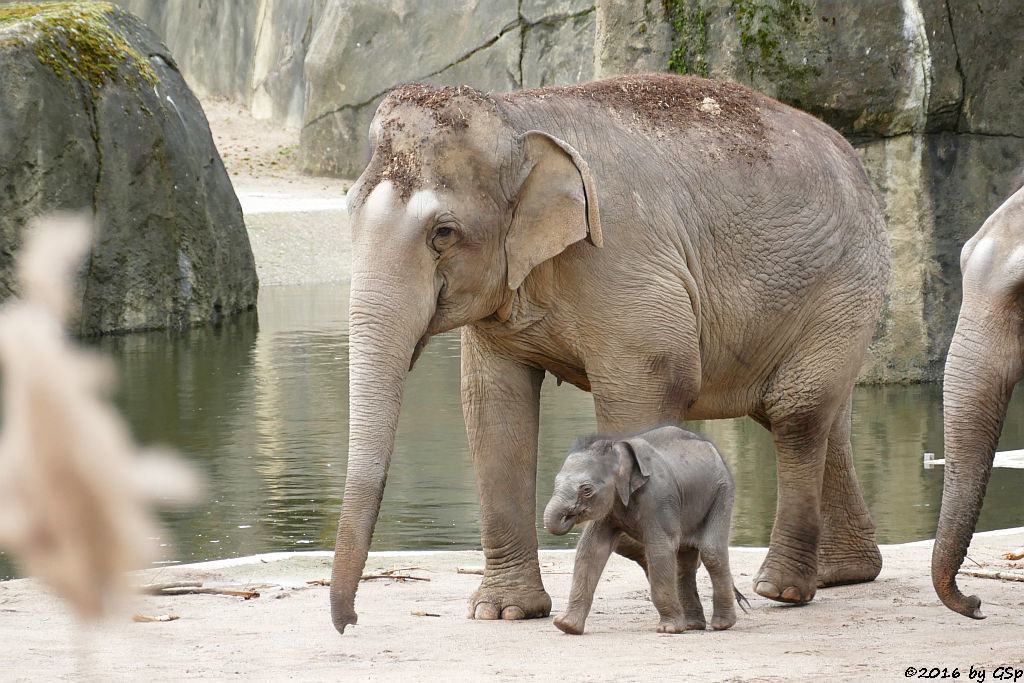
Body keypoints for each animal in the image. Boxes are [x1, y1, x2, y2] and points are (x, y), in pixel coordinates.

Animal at [544, 428, 745, 634]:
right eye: (556, 482)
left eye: (586, 490)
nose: (568, 516)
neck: (618, 448)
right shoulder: (610, 508)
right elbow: (591, 550)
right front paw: (566, 626)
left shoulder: (658, 497)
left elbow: (660, 549)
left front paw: (668, 629)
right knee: (684, 560)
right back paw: (692, 625)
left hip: (722, 492)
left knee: (711, 552)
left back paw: (721, 624)